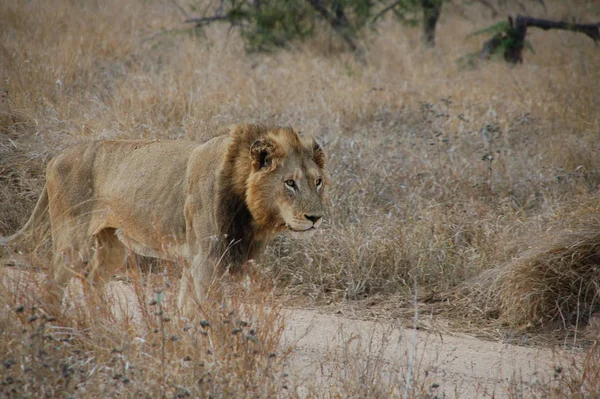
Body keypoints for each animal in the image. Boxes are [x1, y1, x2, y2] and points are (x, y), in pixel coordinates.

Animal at [1, 124, 328, 316]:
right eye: (289, 183)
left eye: (318, 181)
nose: (315, 218)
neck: (251, 213)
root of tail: (55, 157)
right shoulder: (207, 260)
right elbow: (209, 312)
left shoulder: (208, 260)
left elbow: (188, 309)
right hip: (72, 239)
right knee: (53, 284)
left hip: (112, 243)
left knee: (92, 279)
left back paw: (103, 327)